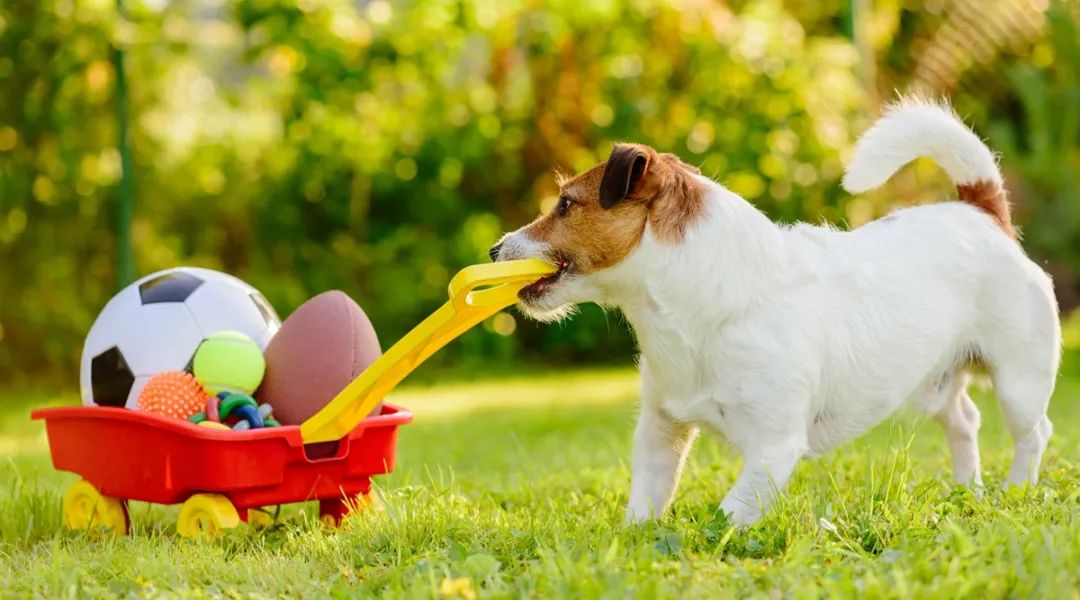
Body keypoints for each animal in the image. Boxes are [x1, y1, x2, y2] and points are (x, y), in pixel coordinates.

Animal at [492, 99, 1062, 524]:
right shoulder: (659, 431)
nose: (496, 250)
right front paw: (635, 541)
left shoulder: (772, 447)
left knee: (1033, 433)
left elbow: (729, 514)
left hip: (1019, 379)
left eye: (565, 204)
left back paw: (1015, 490)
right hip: (933, 382)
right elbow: (647, 501)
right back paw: (967, 490)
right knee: (965, 421)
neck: (697, 308)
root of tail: (981, 213)